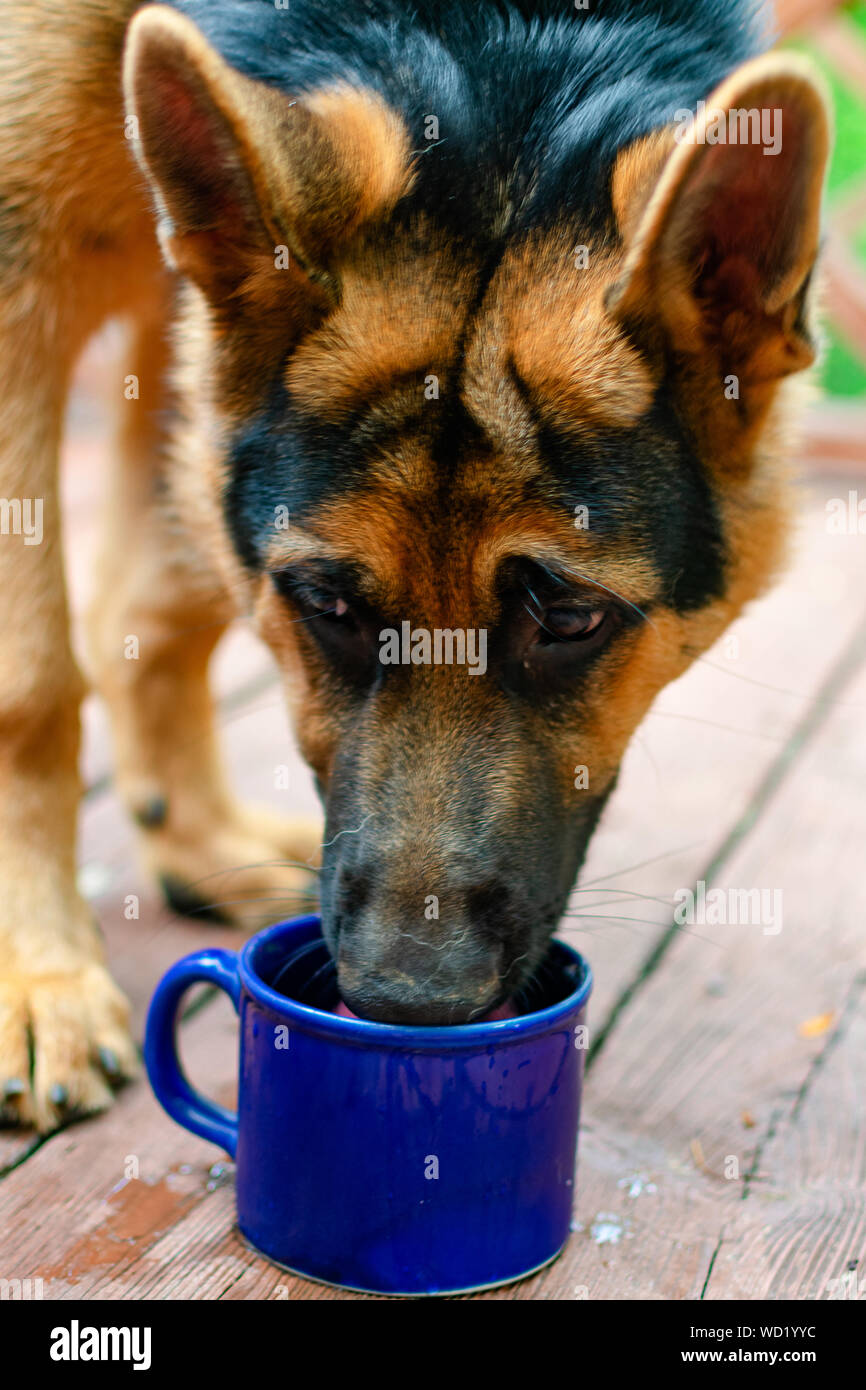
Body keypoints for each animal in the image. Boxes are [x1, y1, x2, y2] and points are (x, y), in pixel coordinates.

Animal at [0, 0, 834, 1128]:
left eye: (569, 618)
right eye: (326, 602)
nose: (408, 1006)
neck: (498, 42)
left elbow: (164, 593)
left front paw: (186, 838)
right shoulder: (25, 265)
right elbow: (33, 681)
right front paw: (36, 973)